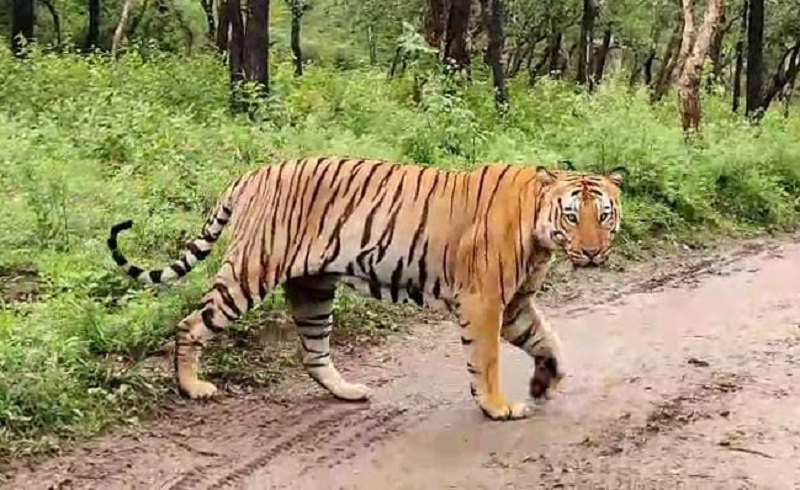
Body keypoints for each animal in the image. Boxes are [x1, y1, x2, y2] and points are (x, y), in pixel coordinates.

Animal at [107, 156, 624, 420]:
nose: (592, 253)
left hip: (313, 288)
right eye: (572, 216)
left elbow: (547, 340)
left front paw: (545, 381)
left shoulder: (514, 303)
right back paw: (192, 387)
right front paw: (497, 407)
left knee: (313, 352)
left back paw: (348, 392)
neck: (540, 237)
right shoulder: (484, 301)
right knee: (191, 323)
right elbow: (488, 360)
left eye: (604, 216)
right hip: (250, 271)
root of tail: (252, 173)